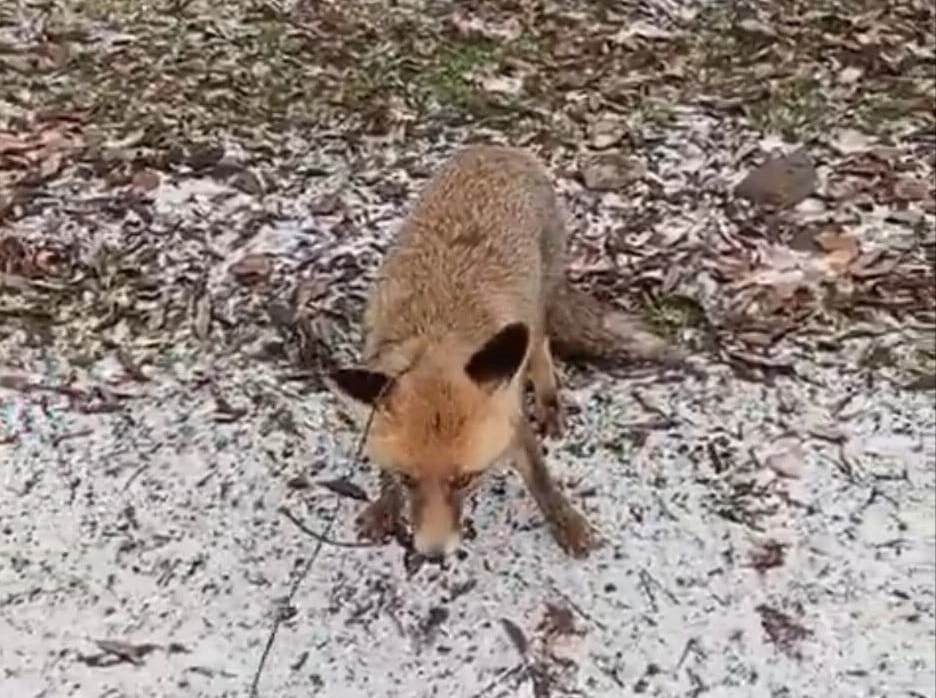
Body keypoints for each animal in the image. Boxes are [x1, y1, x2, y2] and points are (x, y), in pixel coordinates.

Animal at [328, 144, 672, 556]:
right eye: (408, 478)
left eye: (466, 479)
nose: (433, 554)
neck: (436, 336)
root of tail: (498, 148)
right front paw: (386, 504)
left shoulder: (509, 416)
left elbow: (540, 478)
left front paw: (567, 522)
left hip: (537, 310)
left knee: (541, 348)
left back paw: (550, 403)